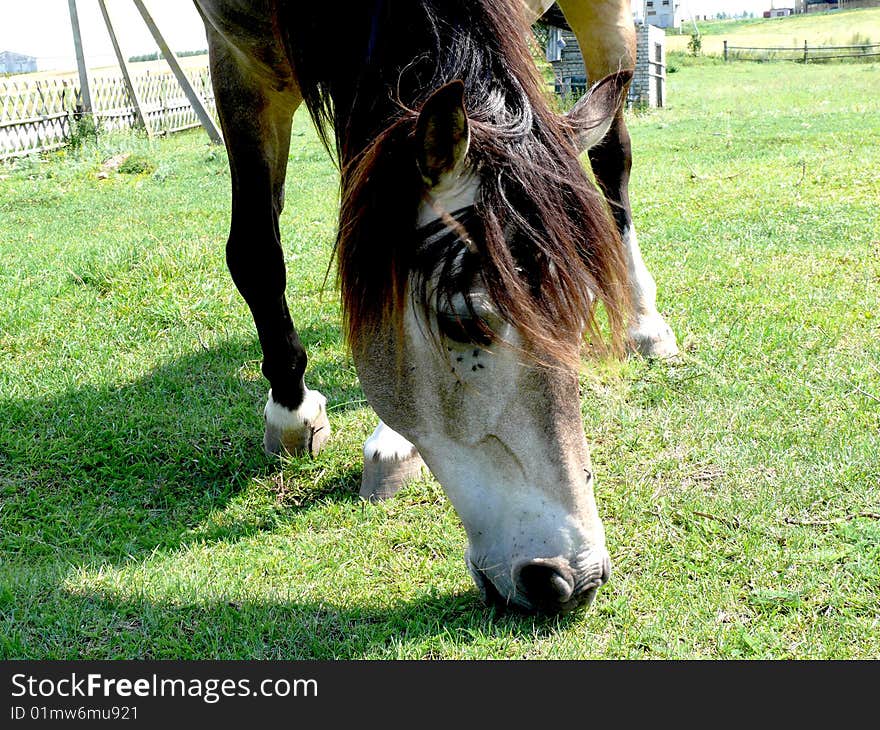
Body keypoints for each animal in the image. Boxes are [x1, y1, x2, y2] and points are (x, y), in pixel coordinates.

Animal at [191, 0, 672, 616]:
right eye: (463, 322)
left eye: (584, 307)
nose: (574, 579)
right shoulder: (236, 59)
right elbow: (255, 251)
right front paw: (291, 410)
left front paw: (391, 444)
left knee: (613, 154)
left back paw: (645, 323)